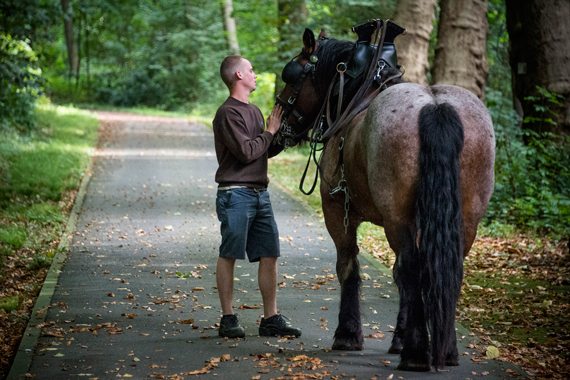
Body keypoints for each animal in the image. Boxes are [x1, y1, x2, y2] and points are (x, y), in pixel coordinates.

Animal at [272, 27, 492, 372]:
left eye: (292, 75)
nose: (278, 127)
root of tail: (435, 106)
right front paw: (399, 337)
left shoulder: (336, 209)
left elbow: (348, 265)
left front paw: (348, 334)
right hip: (466, 218)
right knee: (447, 270)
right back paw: (446, 349)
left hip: (396, 216)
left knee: (412, 268)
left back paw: (415, 354)